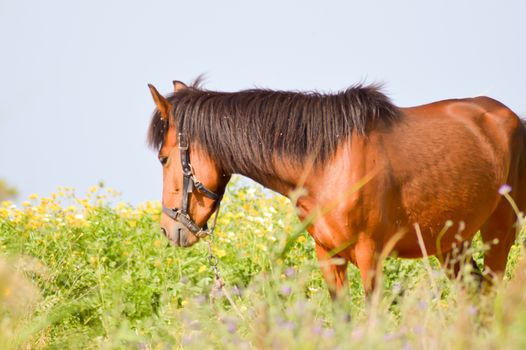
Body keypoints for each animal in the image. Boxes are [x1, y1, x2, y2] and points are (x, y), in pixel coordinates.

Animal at [145, 79, 526, 298]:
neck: (327, 163)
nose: (169, 229)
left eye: (163, 158)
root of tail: (509, 117)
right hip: (451, 243)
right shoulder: (329, 257)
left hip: (500, 232)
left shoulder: (371, 256)